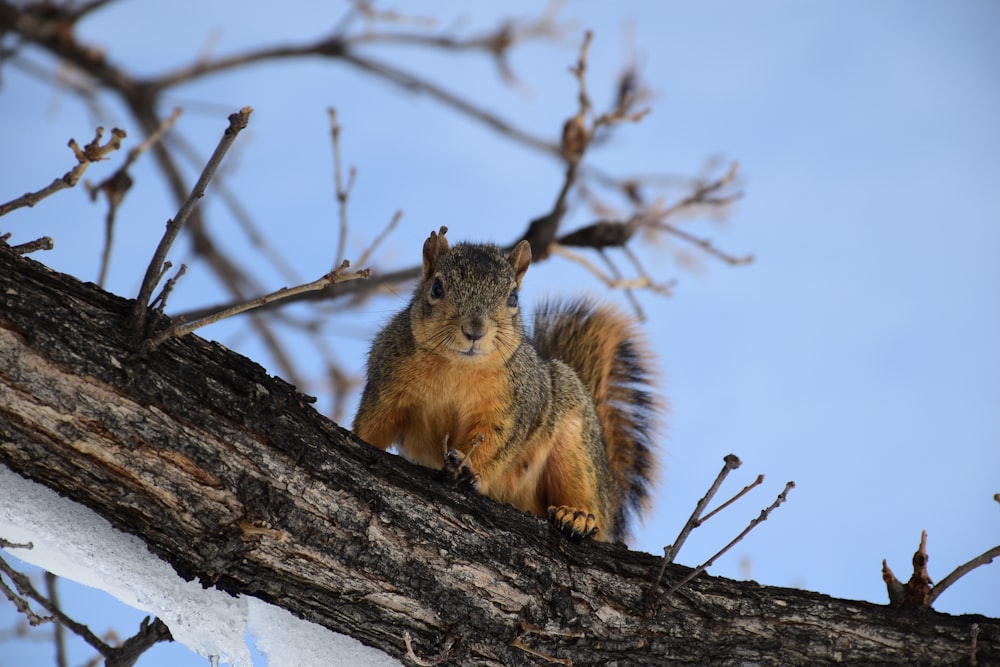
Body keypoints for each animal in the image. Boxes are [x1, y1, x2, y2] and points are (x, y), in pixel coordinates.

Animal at [348, 228, 660, 544]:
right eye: (436, 288)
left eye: (513, 297)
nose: (475, 331)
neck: (457, 368)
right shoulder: (388, 383)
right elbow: (375, 422)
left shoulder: (512, 407)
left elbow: (495, 441)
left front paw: (469, 468)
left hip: (577, 444)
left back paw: (578, 515)